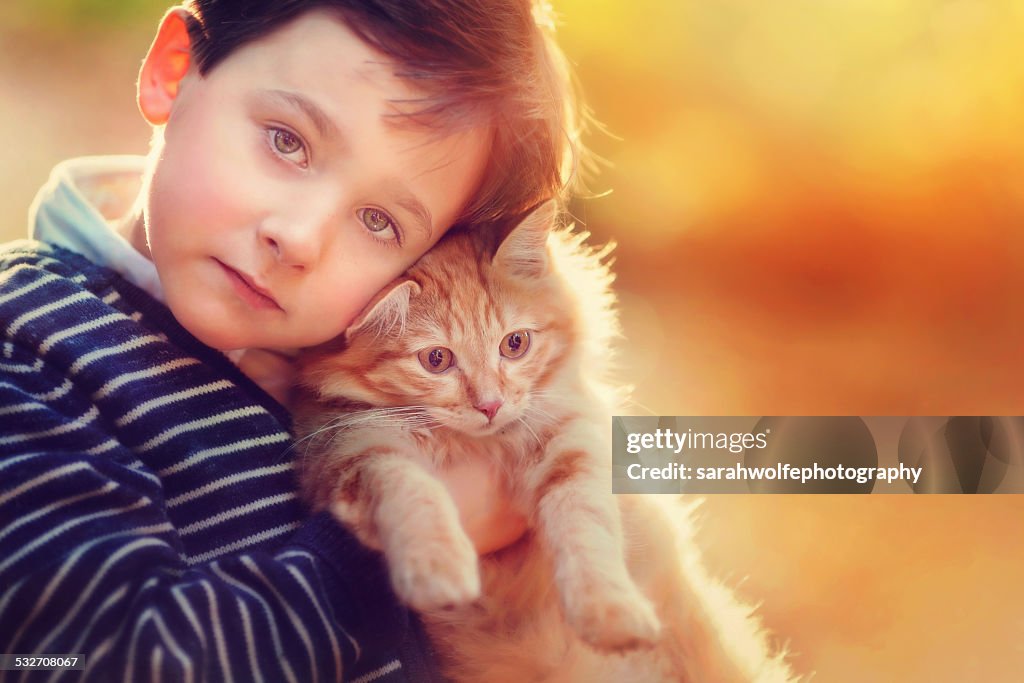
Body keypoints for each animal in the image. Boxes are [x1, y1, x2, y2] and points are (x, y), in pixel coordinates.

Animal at [292, 204, 794, 683]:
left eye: (515, 344)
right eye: (436, 359)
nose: (490, 405)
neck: (482, 445)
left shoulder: (574, 442)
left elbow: (585, 526)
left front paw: (609, 612)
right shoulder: (355, 449)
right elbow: (412, 492)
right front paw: (437, 566)